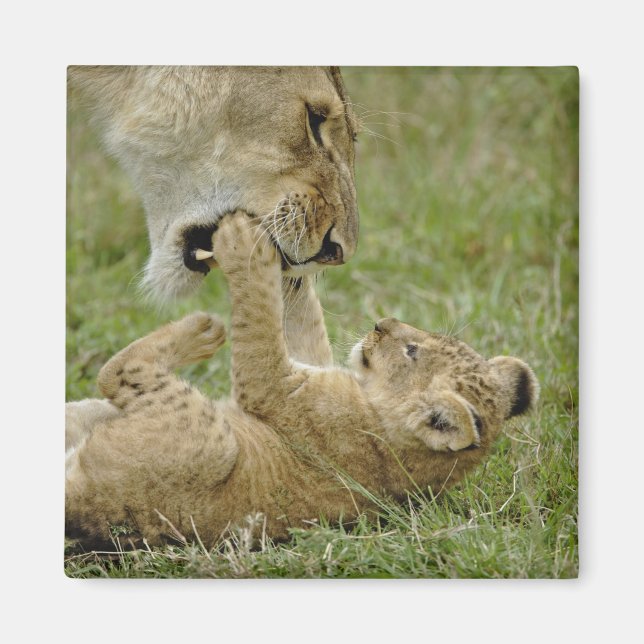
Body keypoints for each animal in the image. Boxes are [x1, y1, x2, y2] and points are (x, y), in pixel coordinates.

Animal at [65, 212, 539, 550]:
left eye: (412, 351)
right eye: (425, 340)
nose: (381, 324)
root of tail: (84, 505)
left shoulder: (276, 388)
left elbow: (260, 326)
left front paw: (246, 243)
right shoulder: (311, 365)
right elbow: (301, 320)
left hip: (210, 443)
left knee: (116, 372)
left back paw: (203, 330)